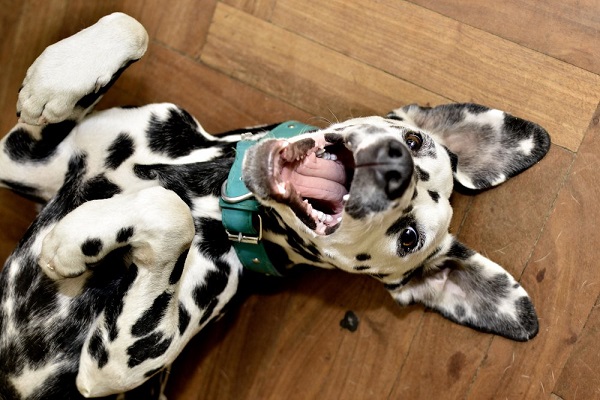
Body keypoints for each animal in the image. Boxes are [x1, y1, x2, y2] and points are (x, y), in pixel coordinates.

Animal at [0, 11, 548, 396]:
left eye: (409, 237)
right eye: (415, 141)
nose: (398, 167)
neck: (204, 183)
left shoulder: (115, 364)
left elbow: (168, 212)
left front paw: (74, 241)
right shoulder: (21, 155)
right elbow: (132, 25)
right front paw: (54, 81)